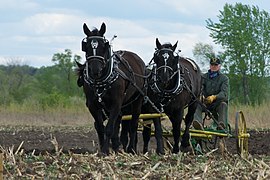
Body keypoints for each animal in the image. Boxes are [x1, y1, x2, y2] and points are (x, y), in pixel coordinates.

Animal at [77, 22, 147, 155]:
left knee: (133, 124)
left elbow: (109, 128)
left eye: (103, 46)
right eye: (86, 47)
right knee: (119, 121)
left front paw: (105, 151)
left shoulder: (116, 103)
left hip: (137, 100)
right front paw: (104, 149)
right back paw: (116, 146)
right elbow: (101, 127)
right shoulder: (93, 105)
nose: (95, 70)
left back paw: (131, 149)